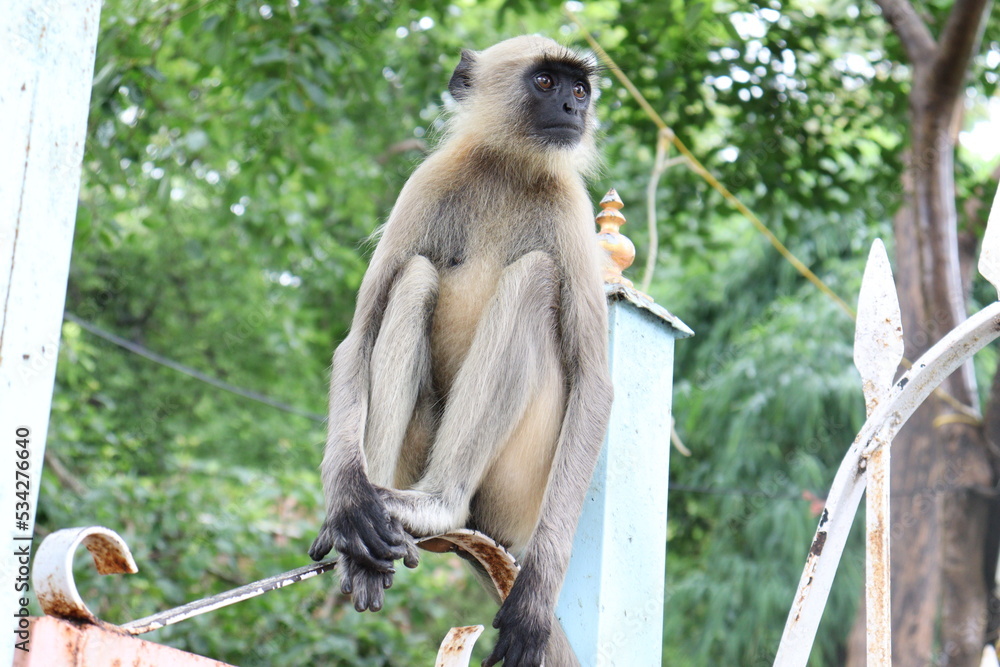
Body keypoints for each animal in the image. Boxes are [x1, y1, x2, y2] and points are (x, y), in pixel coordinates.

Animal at [308, 35, 613, 667]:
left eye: (580, 88)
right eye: (546, 83)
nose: (573, 110)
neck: (509, 167)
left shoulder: (571, 207)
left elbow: (595, 385)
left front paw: (535, 598)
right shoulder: (428, 182)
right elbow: (358, 339)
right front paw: (347, 501)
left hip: (521, 487)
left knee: (535, 278)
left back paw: (440, 506)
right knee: (416, 276)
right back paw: (370, 530)